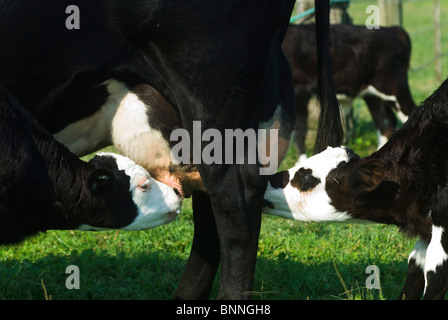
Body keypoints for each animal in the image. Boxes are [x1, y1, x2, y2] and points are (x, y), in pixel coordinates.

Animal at [284, 24, 416, 162]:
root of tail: (392, 30)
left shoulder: (300, 89)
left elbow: (300, 131)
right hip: (372, 95)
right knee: (385, 122)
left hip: (394, 87)